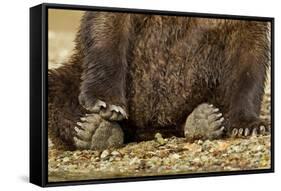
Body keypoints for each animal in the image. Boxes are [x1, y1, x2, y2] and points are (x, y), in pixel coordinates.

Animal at [47, 11, 270, 150]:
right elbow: (108, 27)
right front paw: (107, 103)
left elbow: (249, 58)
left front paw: (249, 125)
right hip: (76, 73)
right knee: (57, 86)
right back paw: (93, 130)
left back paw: (204, 120)